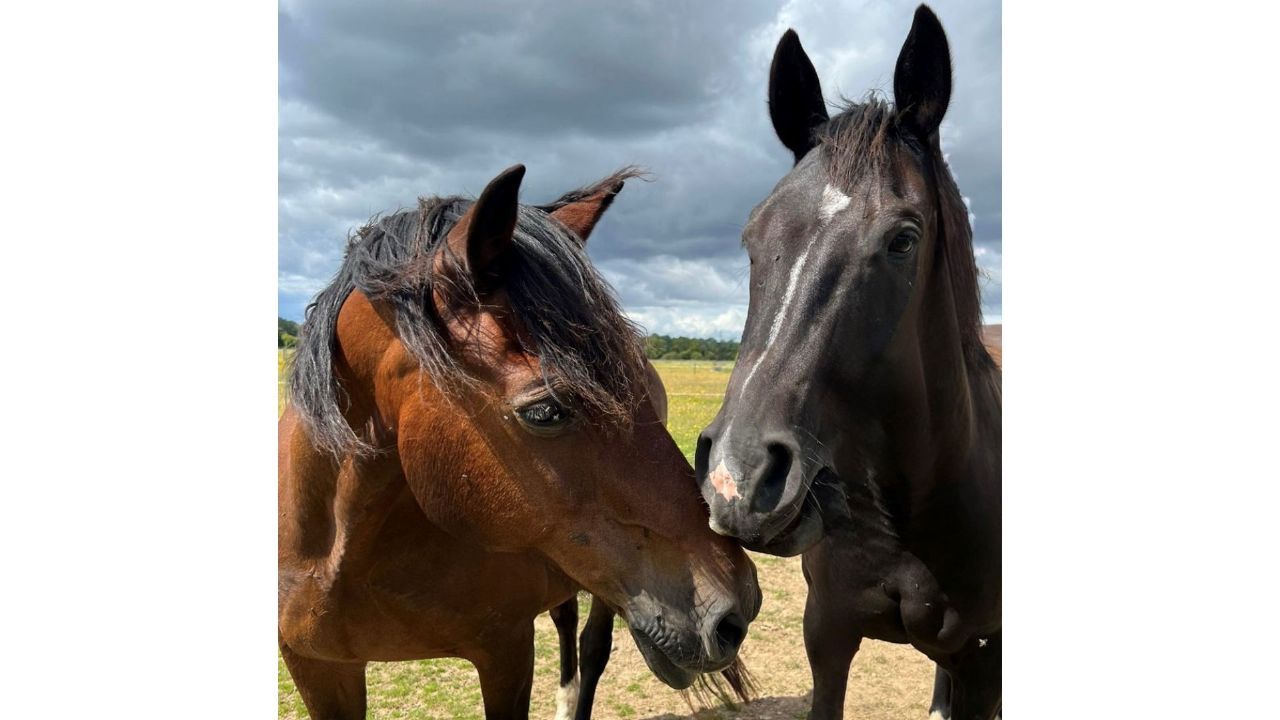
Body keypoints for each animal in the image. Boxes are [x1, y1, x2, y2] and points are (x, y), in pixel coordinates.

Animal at [279, 164, 761, 720]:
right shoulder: (316, 669)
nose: (739, 607)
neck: (342, 553)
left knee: (594, 647)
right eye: (544, 411)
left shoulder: (506, 651)